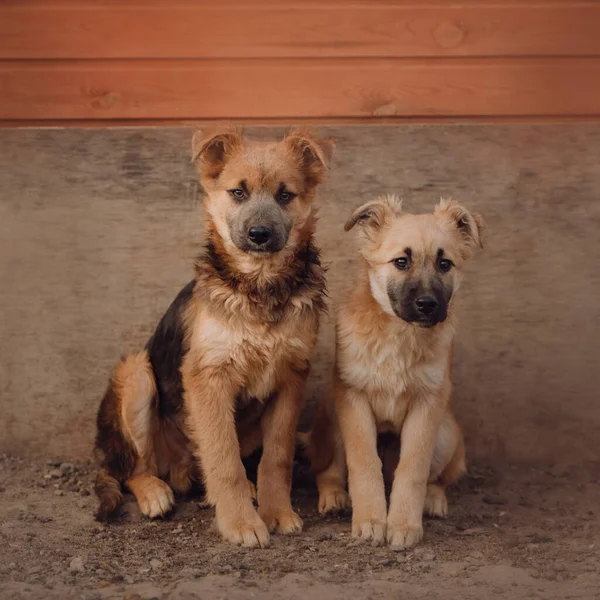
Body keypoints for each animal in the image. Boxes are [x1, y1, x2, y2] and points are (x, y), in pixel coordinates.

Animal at [310, 196, 482, 548]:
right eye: (401, 262)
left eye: (445, 264)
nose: (428, 304)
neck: (399, 334)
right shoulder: (352, 396)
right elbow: (363, 463)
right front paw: (371, 520)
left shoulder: (428, 403)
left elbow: (412, 468)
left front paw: (403, 524)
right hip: (332, 421)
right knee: (329, 470)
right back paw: (333, 496)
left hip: (446, 434)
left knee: (435, 478)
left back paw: (433, 499)